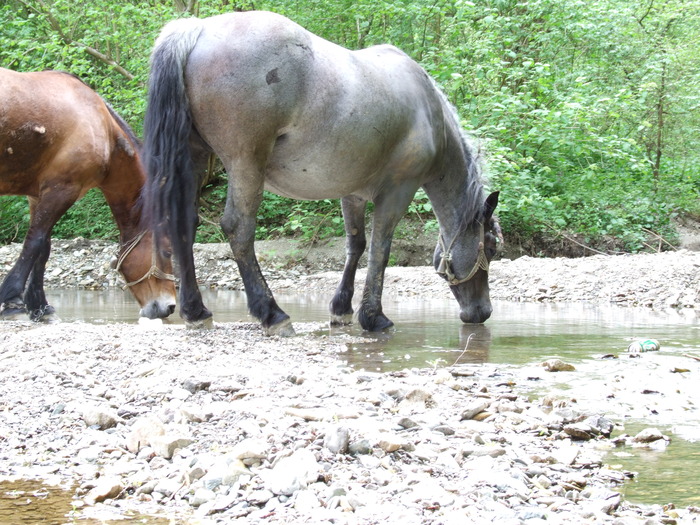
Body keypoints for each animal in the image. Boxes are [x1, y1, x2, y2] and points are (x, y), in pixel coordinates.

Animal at [0, 67, 175, 322]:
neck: (103, 128)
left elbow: (43, 248)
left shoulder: (40, 194)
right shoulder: (62, 189)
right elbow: (35, 243)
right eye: (167, 251)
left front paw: (40, 306)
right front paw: (12, 299)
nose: (169, 307)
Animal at [145, 11, 500, 336]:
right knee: (239, 228)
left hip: (194, 160)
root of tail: (198, 28)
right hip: (246, 164)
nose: (482, 312)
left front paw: (342, 309)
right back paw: (271, 313)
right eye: (492, 247)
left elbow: (356, 245)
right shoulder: (398, 192)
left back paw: (196, 310)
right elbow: (381, 249)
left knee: (183, 225)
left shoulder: (353, 192)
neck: (429, 114)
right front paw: (374, 317)